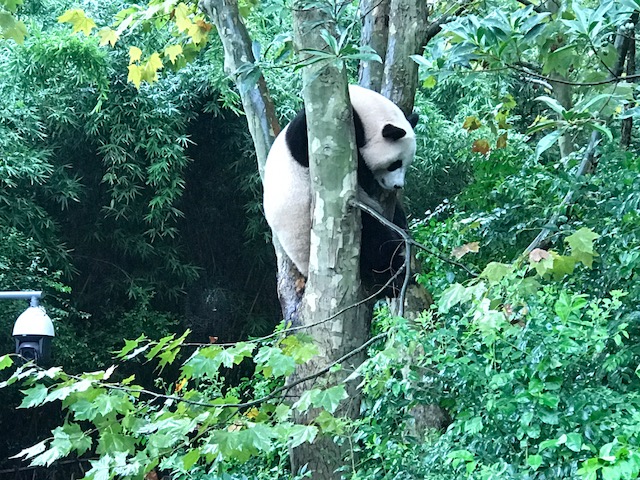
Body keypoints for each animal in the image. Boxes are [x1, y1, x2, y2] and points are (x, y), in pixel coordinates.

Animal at [263, 85, 418, 294]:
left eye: (406, 164)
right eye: (395, 164)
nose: (398, 185)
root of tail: (306, 271)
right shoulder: (311, 134)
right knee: (375, 239)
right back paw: (392, 272)